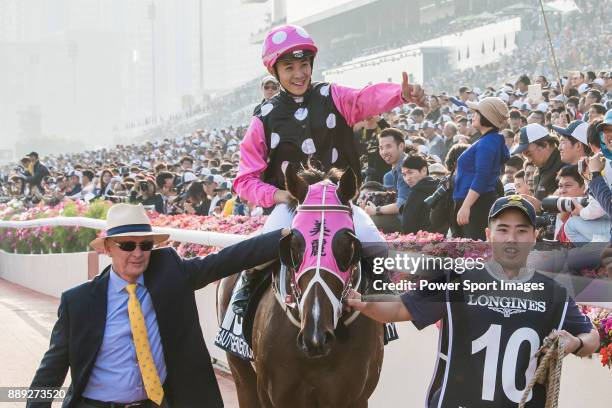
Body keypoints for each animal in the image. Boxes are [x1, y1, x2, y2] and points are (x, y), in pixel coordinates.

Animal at [218, 165, 384, 408]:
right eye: (293, 245)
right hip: (241, 373)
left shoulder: (354, 396)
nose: (315, 337)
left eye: (347, 246)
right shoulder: (274, 395)